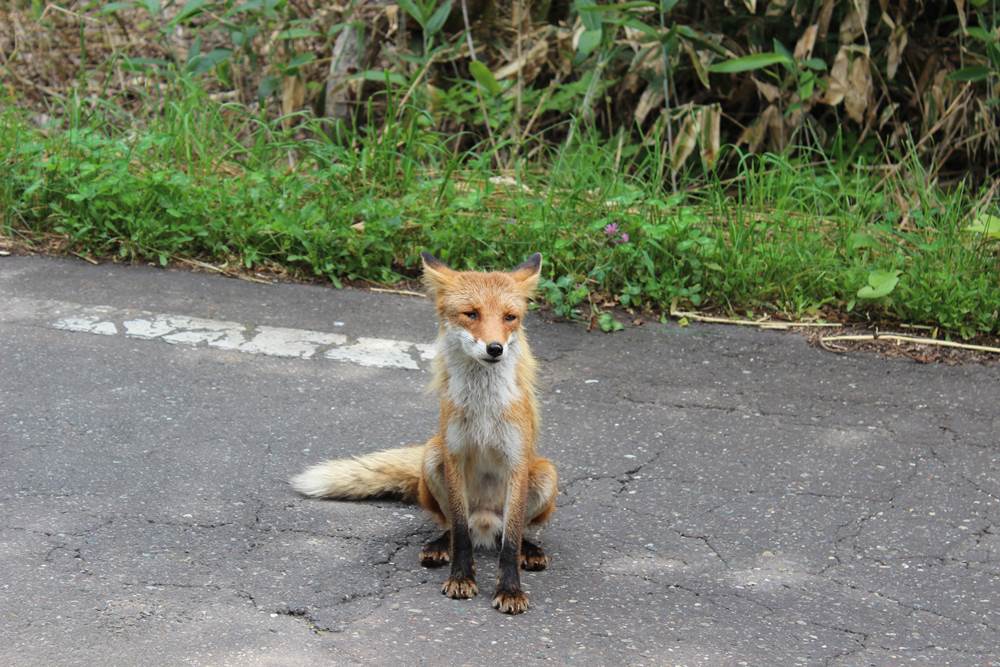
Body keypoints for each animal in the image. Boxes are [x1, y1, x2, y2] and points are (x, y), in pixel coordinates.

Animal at [290, 252, 560, 616]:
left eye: (510, 317)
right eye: (471, 314)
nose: (495, 348)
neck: (484, 411)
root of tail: (486, 527)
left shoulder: (517, 461)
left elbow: (512, 540)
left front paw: (510, 589)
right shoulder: (454, 455)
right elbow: (459, 530)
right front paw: (461, 577)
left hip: (544, 473)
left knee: (511, 532)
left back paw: (529, 549)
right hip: (432, 456)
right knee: (453, 526)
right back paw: (440, 545)